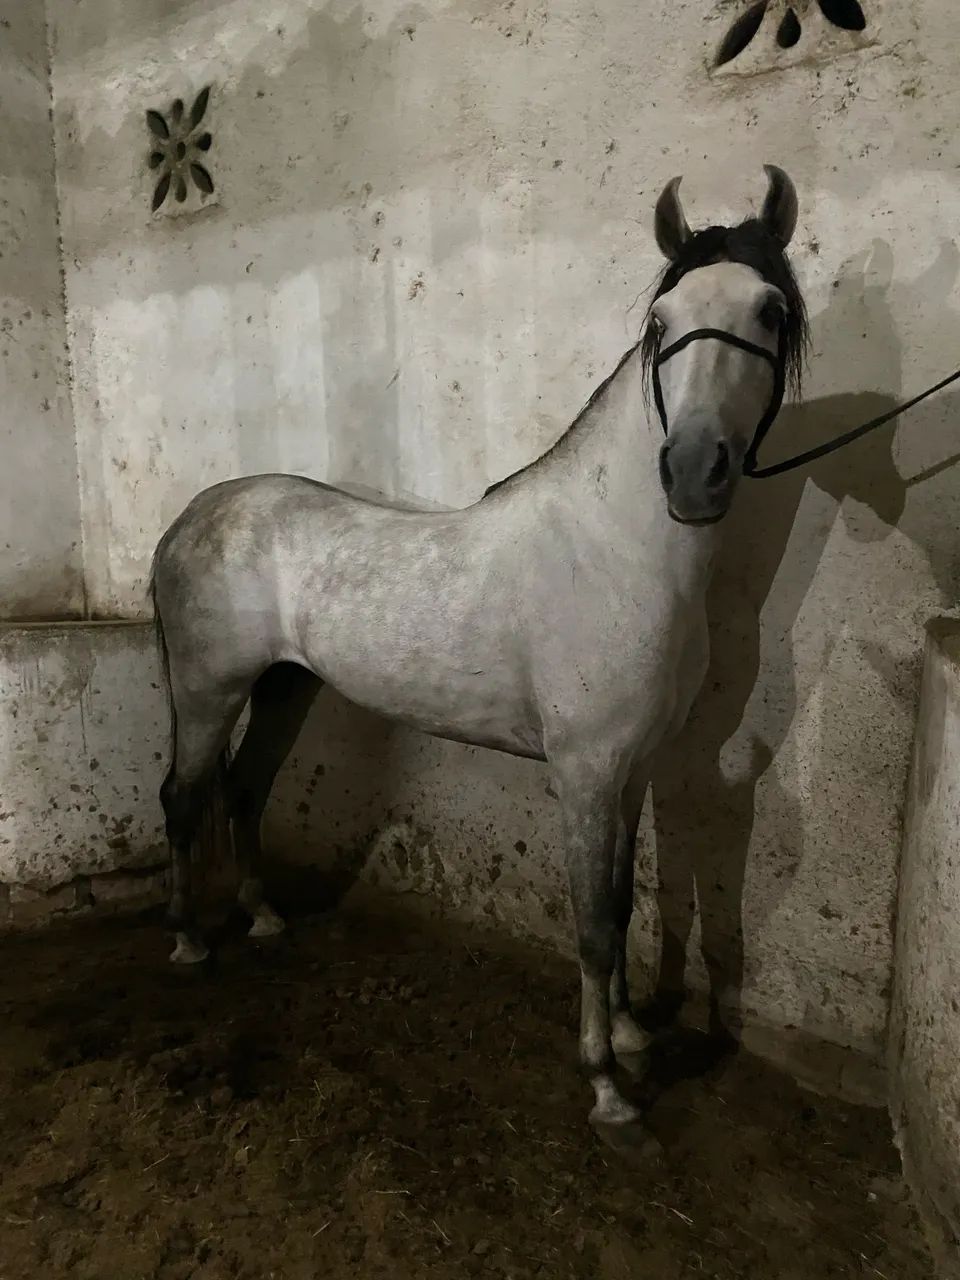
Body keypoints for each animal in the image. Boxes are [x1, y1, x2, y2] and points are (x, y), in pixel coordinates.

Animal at [149, 164, 809, 1147]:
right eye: (661, 322)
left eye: (768, 310)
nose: (694, 471)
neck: (618, 549)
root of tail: (192, 516)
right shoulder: (585, 772)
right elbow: (593, 923)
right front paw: (608, 1086)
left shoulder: (633, 770)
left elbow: (622, 902)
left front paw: (629, 1035)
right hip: (207, 692)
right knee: (186, 796)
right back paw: (190, 940)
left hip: (285, 689)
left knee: (244, 789)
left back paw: (263, 919)